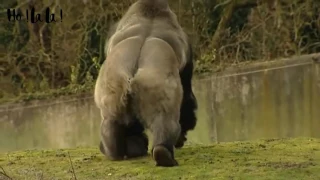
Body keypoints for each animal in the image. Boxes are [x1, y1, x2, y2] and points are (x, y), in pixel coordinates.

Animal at [94, 0, 196, 167]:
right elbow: (187, 97)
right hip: (154, 82)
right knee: (165, 119)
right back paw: (162, 152)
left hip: (112, 82)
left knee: (111, 120)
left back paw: (116, 149)